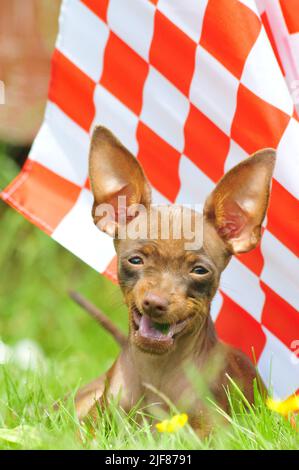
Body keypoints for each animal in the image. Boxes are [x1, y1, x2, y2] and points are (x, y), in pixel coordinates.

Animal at [75, 126, 276, 434]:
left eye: (200, 271)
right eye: (136, 260)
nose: (155, 303)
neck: (157, 371)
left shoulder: (214, 432)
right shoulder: (92, 427)